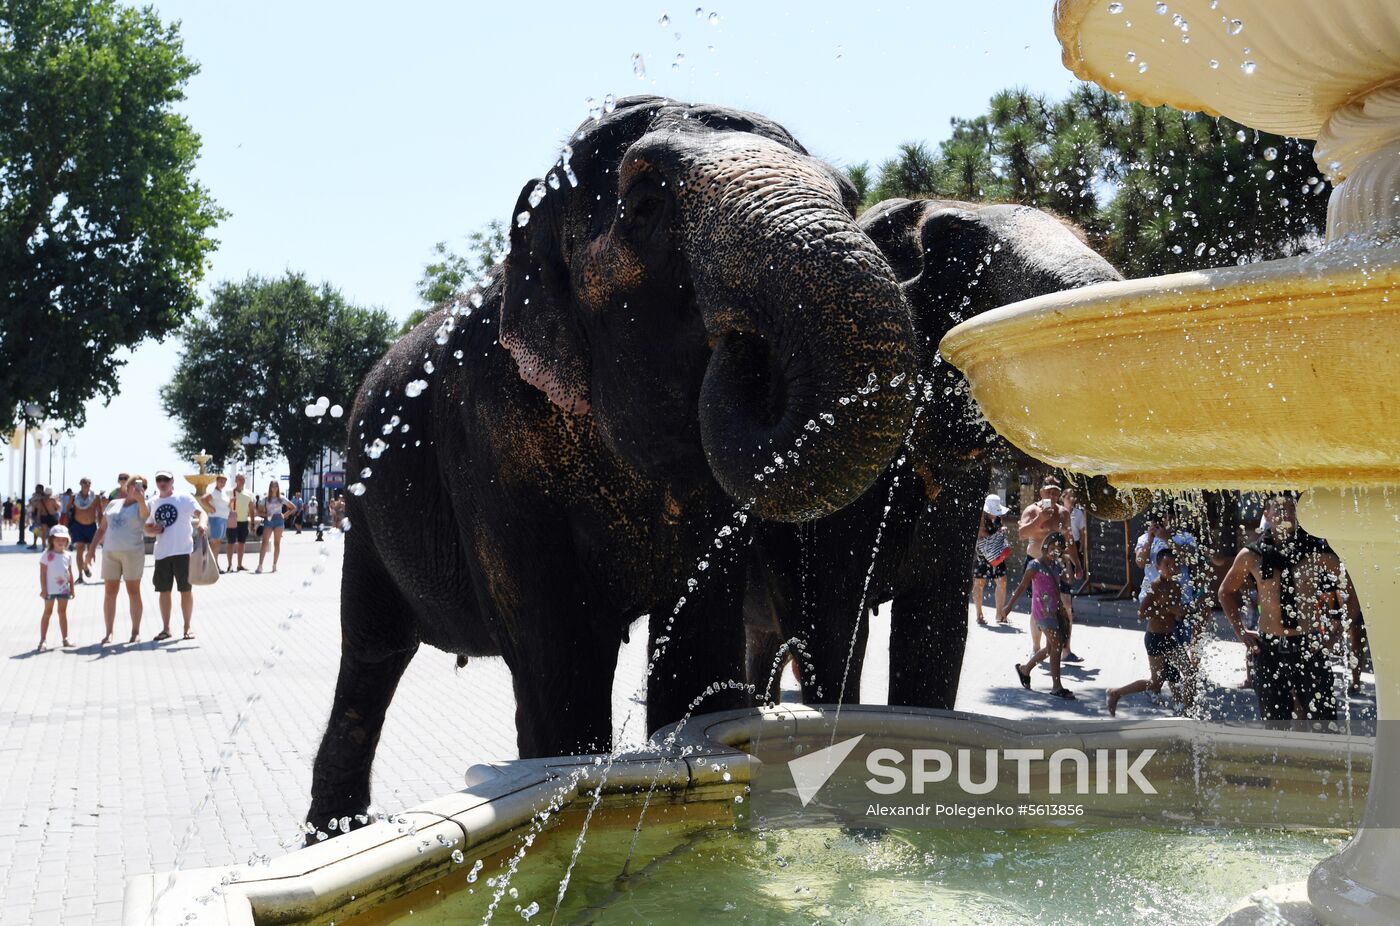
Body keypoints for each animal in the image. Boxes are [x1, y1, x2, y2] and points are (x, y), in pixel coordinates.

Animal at [306, 97, 917, 834]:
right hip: (360, 512)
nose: (741, 344)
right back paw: (334, 833)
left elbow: (696, 648)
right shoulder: (489, 441)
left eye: (850, 198)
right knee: (370, 660)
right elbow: (561, 659)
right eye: (645, 204)